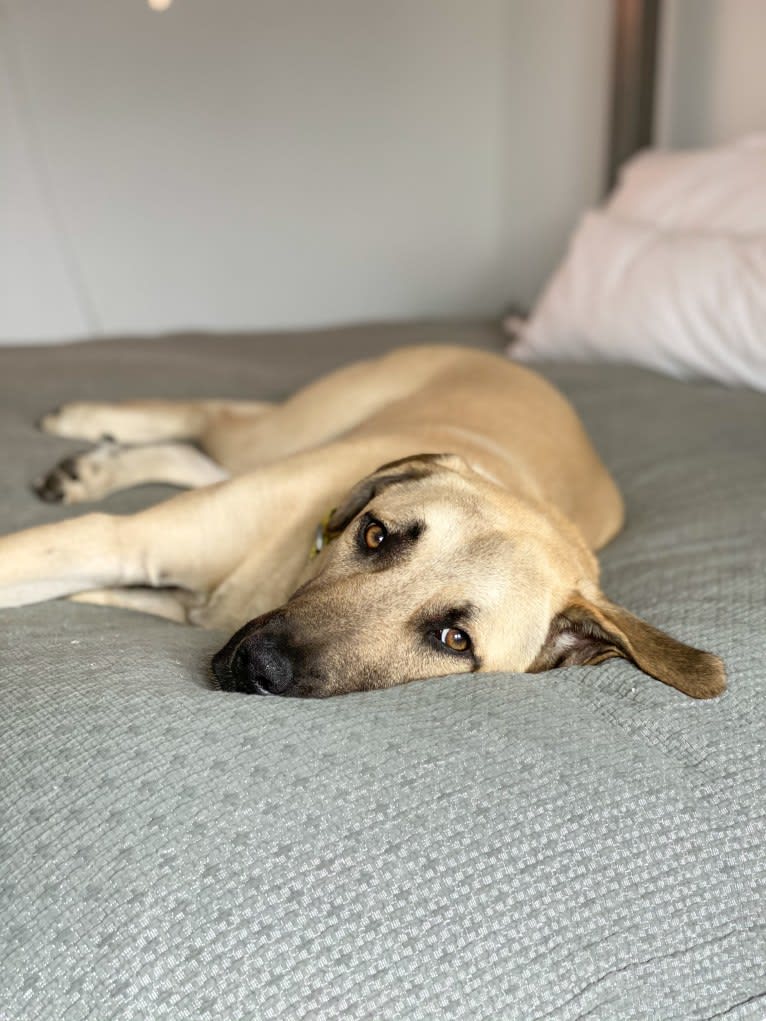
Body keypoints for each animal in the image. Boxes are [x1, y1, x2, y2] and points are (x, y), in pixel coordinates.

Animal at [0, 347, 727, 698]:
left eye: (454, 640)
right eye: (375, 535)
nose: (255, 664)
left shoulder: (161, 593)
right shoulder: (121, 540)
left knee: (197, 453)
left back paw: (91, 467)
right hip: (283, 430)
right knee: (210, 416)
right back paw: (84, 420)